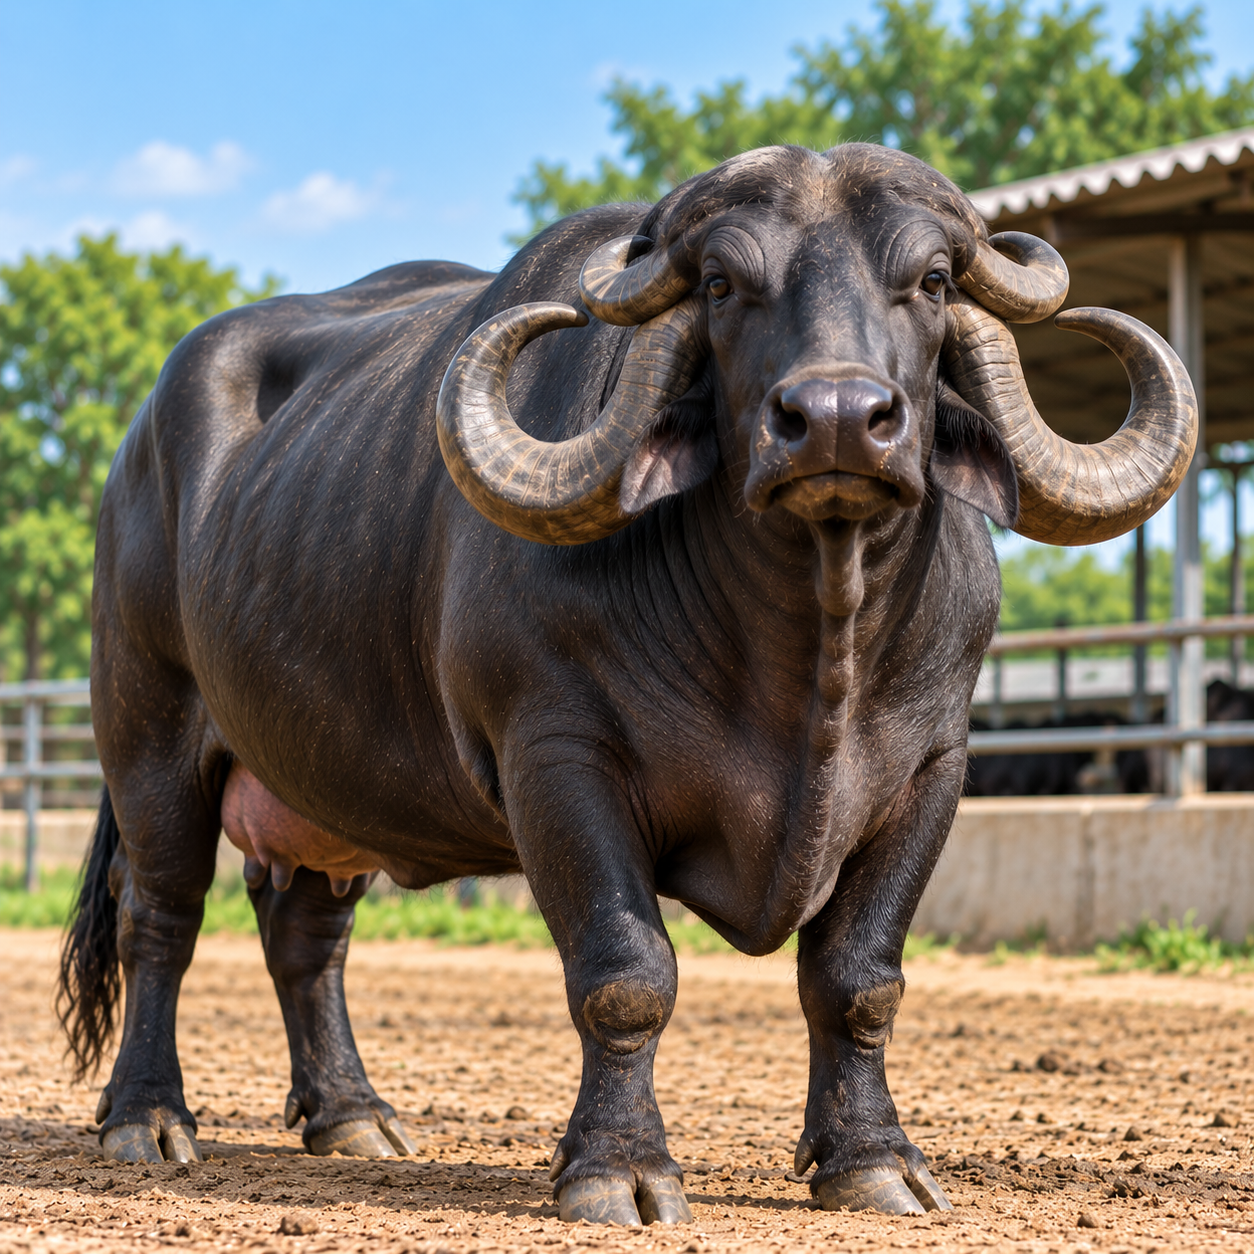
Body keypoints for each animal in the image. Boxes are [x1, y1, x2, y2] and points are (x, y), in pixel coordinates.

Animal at [59, 143, 1196, 1224]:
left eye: (929, 279)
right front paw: (619, 1171)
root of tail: (139, 449)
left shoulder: (932, 773)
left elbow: (859, 980)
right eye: (726, 285)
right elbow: (626, 973)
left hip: (327, 793)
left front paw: (875, 1164)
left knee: (306, 936)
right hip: (147, 732)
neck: (808, 657)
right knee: (160, 914)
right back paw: (148, 1121)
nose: (835, 418)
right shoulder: (557, 760)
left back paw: (353, 1118)